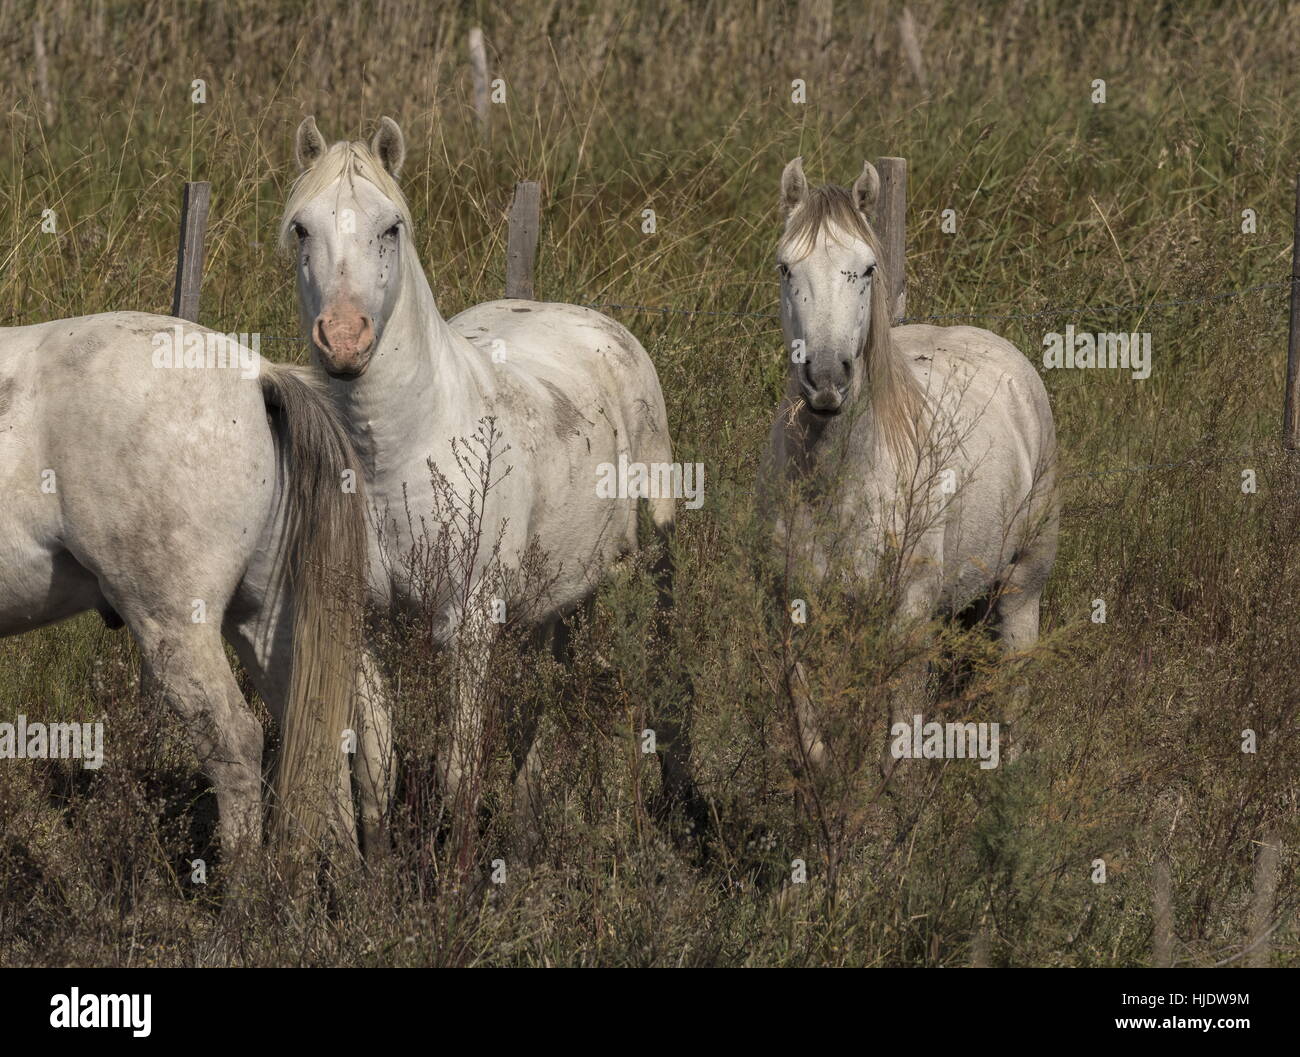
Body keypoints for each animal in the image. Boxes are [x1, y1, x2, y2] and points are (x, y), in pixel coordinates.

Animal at [0, 315, 369, 881]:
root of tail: (260, 375)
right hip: (263, 623)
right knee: (318, 735)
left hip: (174, 625)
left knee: (233, 743)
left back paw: (243, 898)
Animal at [279, 117, 696, 849]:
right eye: (303, 227)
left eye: (391, 227)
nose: (345, 338)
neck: (397, 454)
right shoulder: (365, 623)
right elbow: (376, 774)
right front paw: (377, 870)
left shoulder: (470, 628)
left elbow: (459, 775)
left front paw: (460, 873)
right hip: (554, 599)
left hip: (631, 576)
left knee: (625, 688)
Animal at [759, 157, 1058, 773]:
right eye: (785, 266)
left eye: (866, 268)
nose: (827, 379)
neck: (840, 483)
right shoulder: (792, 613)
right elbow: (813, 738)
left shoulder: (907, 613)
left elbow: (899, 743)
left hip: (1023, 584)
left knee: (1015, 683)